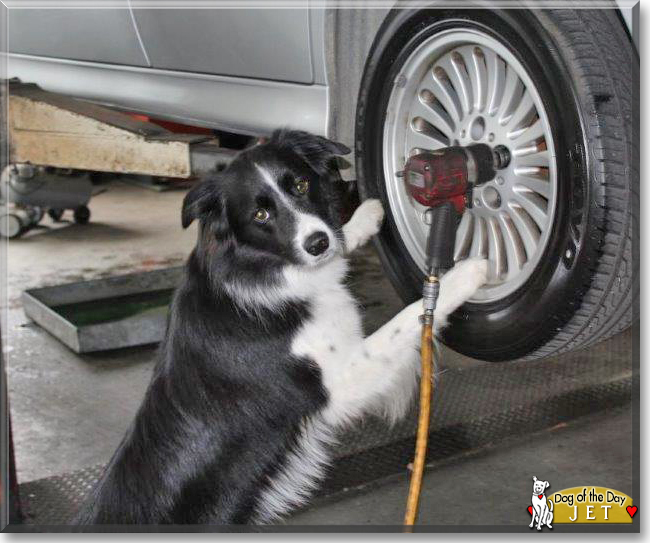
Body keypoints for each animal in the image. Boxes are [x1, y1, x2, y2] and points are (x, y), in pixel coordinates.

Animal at [76, 130, 486, 524]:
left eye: (301, 185)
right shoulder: (340, 383)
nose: (317, 243)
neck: (259, 269)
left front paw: (364, 216)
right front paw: (463, 275)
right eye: (260, 214)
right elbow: (406, 319)